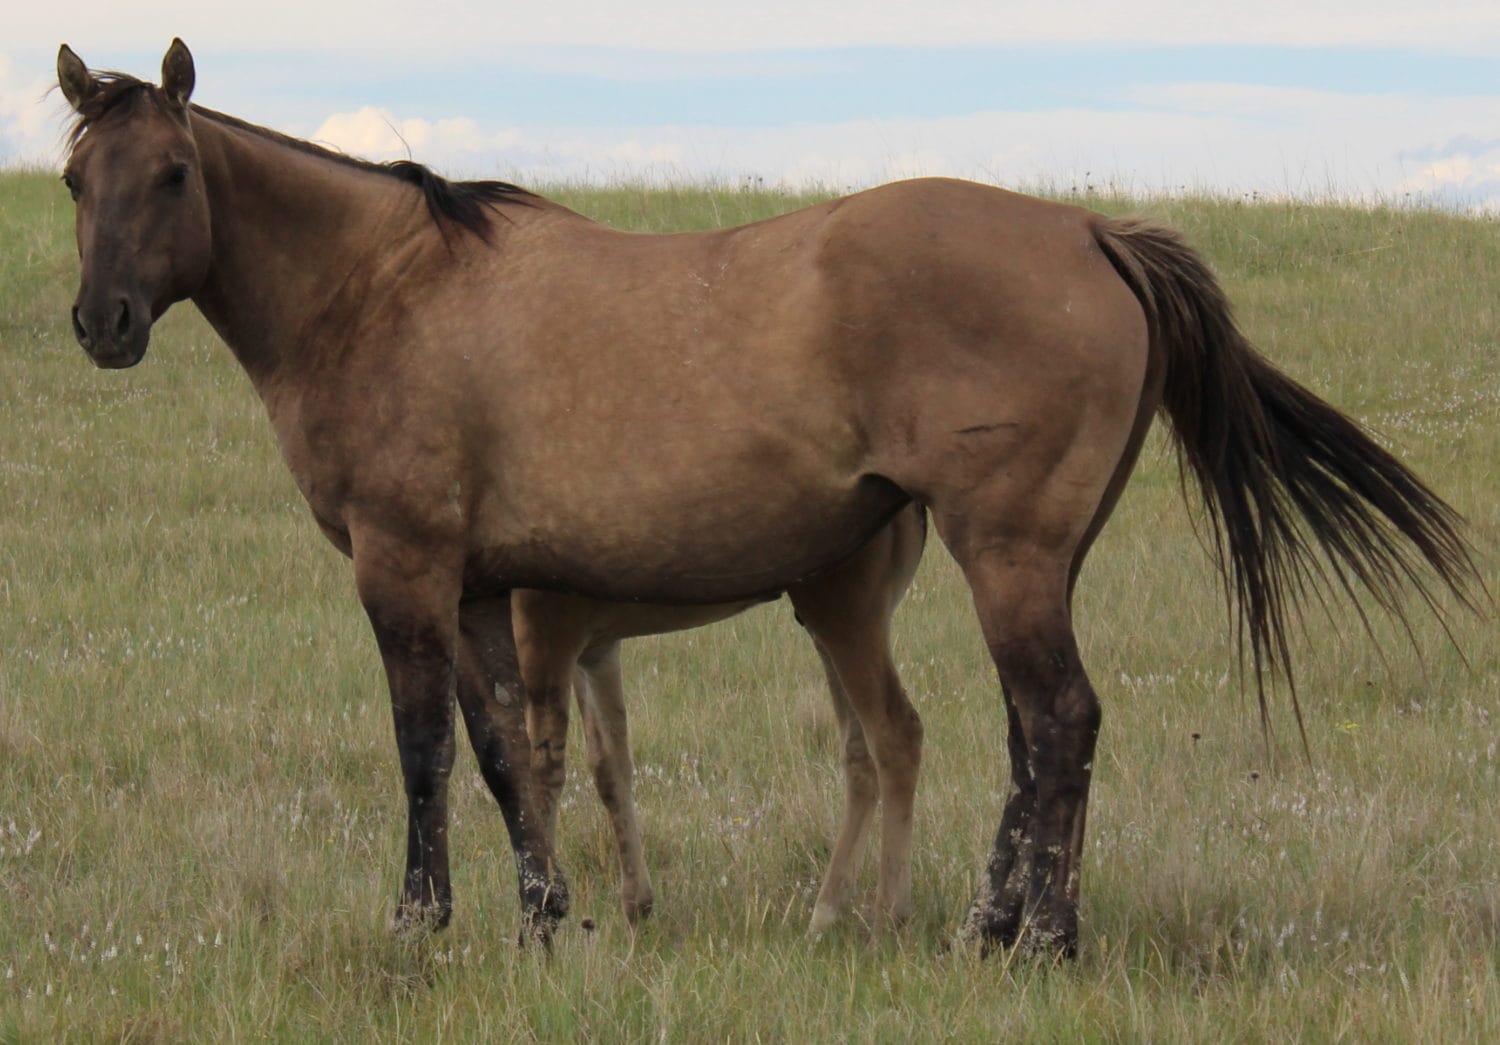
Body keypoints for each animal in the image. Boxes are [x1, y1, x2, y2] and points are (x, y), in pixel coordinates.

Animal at [512, 504, 925, 930]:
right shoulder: (595, 650)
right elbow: (609, 767)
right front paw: (637, 908)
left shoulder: (542, 637)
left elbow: (539, 773)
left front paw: (538, 918)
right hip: (826, 626)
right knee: (859, 753)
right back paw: (825, 917)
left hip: (848, 615)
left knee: (896, 733)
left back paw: (888, 917)